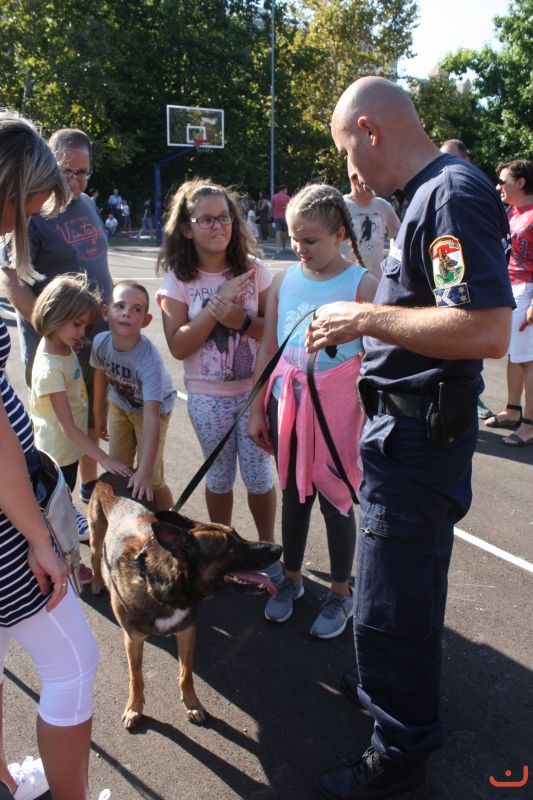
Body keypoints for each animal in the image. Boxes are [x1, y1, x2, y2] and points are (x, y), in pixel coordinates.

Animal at [87, 473, 282, 729]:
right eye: (229, 548)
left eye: (238, 535)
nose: (278, 548)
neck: (161, 584)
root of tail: (111, 474)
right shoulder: (133, 639)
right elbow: (136, 677)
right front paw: (134, 707)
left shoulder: (187, 632)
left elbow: (186, 673)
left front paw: (192, 704)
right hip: (96, 535)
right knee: (94, 557)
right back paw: (97, 581)